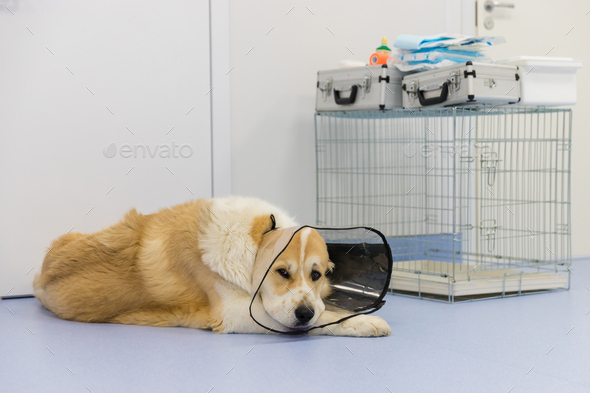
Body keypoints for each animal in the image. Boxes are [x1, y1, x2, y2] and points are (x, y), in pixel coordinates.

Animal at [33, 196, 394, 336]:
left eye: (316, 275)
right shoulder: (236, 314)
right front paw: (366, 322)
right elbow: (327, 319)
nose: (303, 313)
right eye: (282, 272)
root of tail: (40, 277)